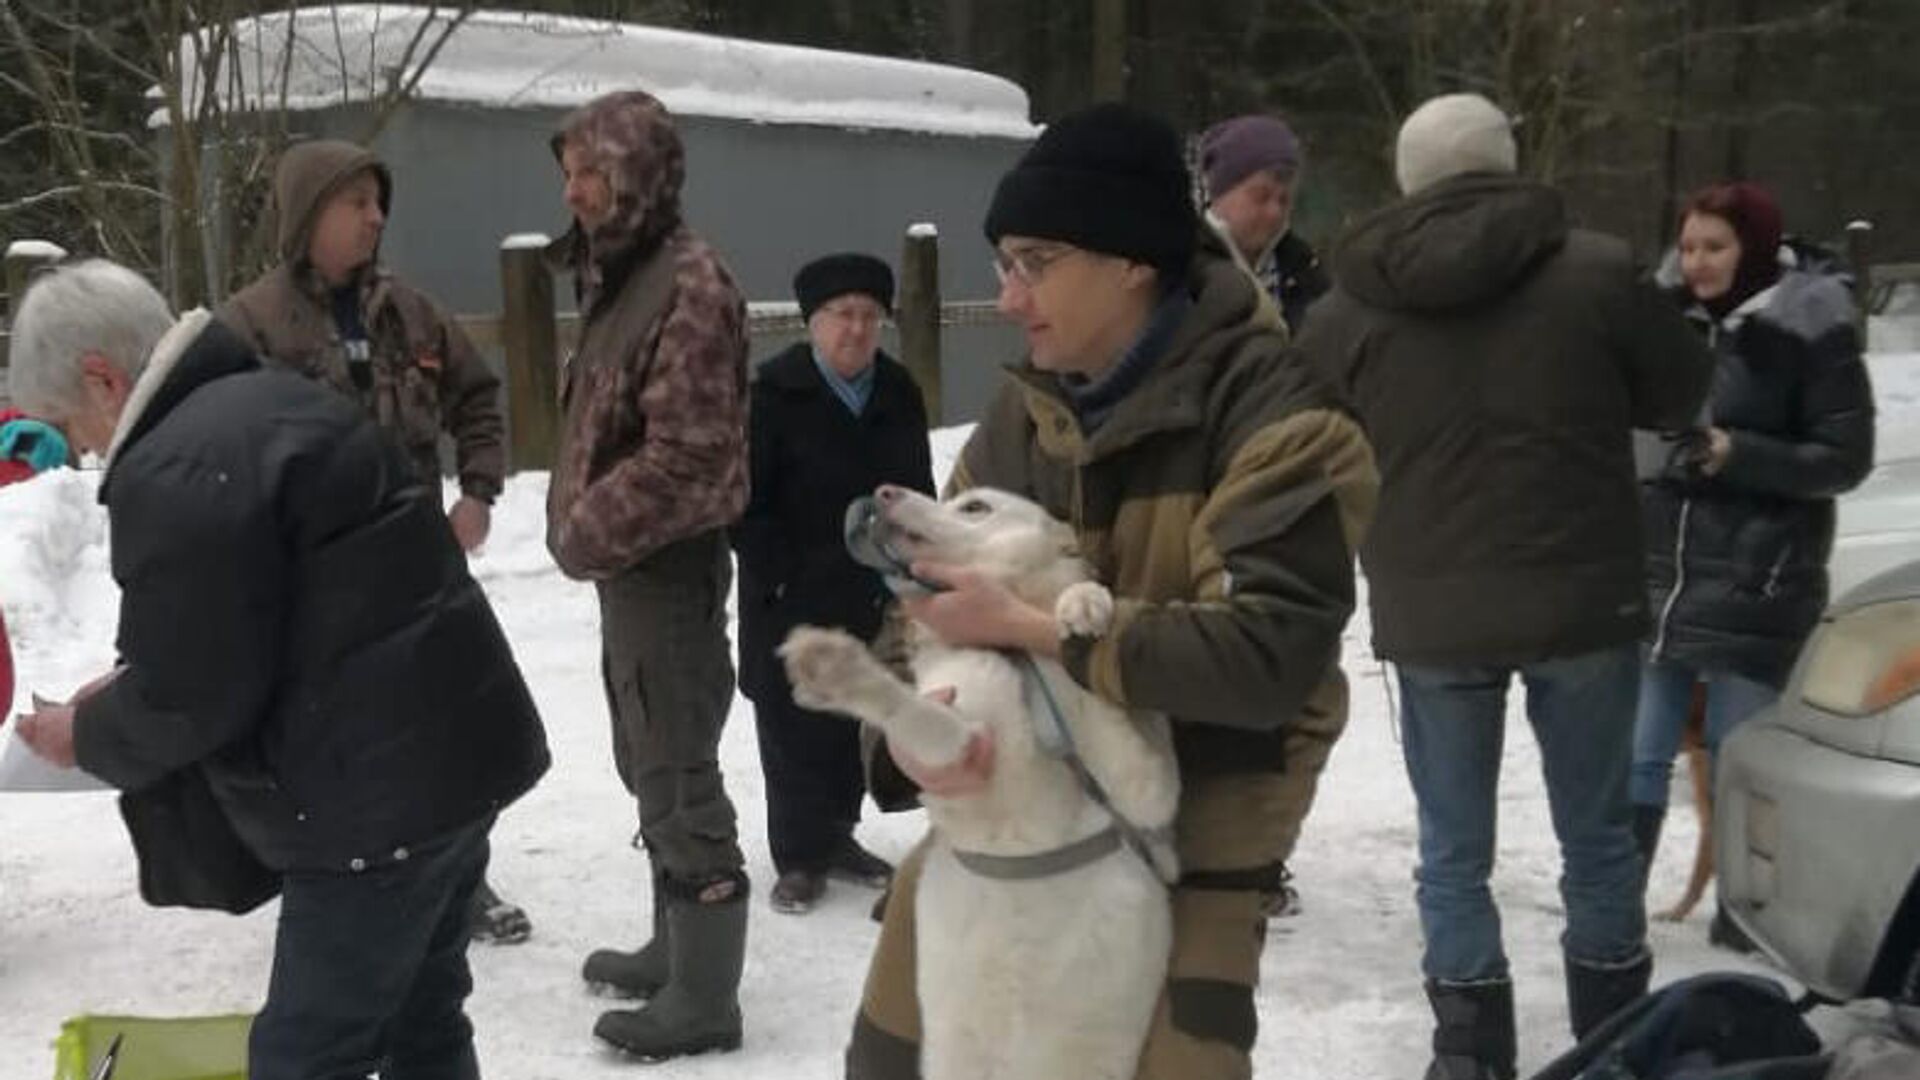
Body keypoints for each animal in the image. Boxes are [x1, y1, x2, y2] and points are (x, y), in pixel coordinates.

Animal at [775, 486, 1167, 1076]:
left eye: (975, 507)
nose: (884, 491)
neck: (1013, 656)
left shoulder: (1148, 785)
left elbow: (1109, 711)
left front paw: (1083, 605)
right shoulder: (962, 750)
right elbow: (914, 713)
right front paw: (838, 671)